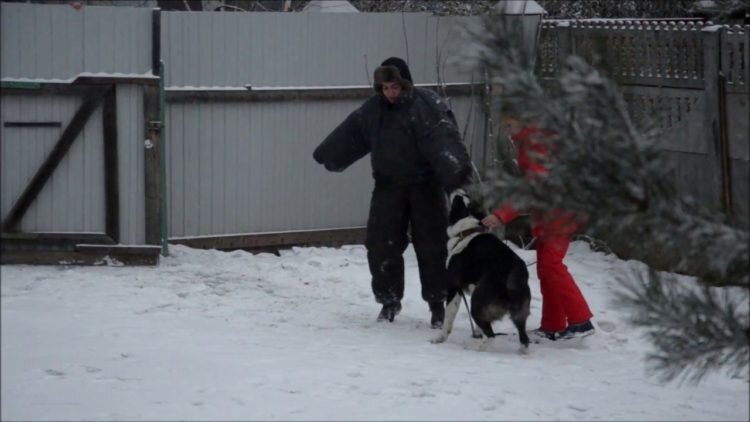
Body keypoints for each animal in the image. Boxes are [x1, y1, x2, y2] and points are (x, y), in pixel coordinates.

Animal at [428, 189, 536, 350]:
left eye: (458, 200)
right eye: (466, 198)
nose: (461, 190)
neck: (467, 230)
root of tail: (514, 270)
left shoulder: (454, 288)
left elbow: (448, 318)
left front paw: (439, 339)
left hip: (477, 303)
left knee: (491, 336)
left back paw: (476, 349)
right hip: (519, 311)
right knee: (523, 338)